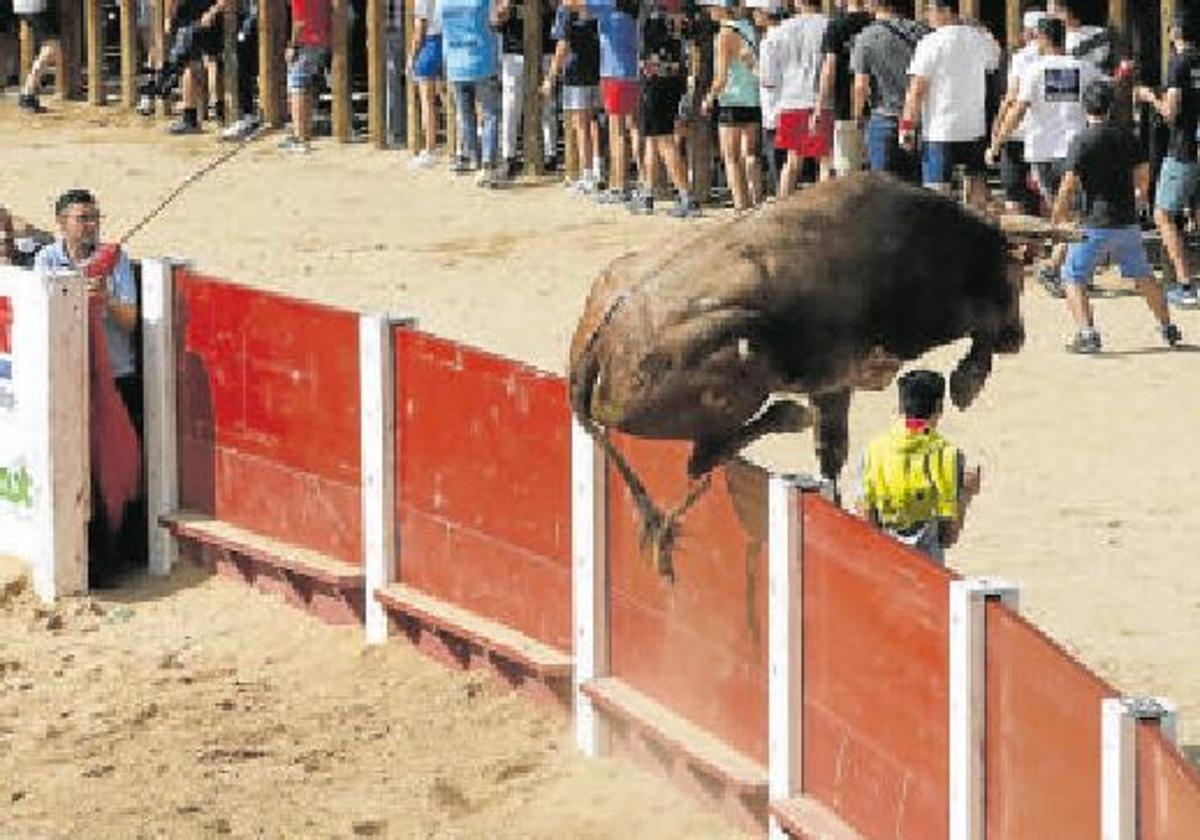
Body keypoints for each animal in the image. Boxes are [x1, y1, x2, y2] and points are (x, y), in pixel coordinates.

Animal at [568, 171, 1060, 578]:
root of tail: (602, 343)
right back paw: (787, 414)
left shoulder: (832, 387)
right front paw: (966, 380)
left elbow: (832, 453)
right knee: (703, 456)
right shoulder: (841, 371)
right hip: (744, 362)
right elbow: (975, 338)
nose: (1017, 338)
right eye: (1014, 278)